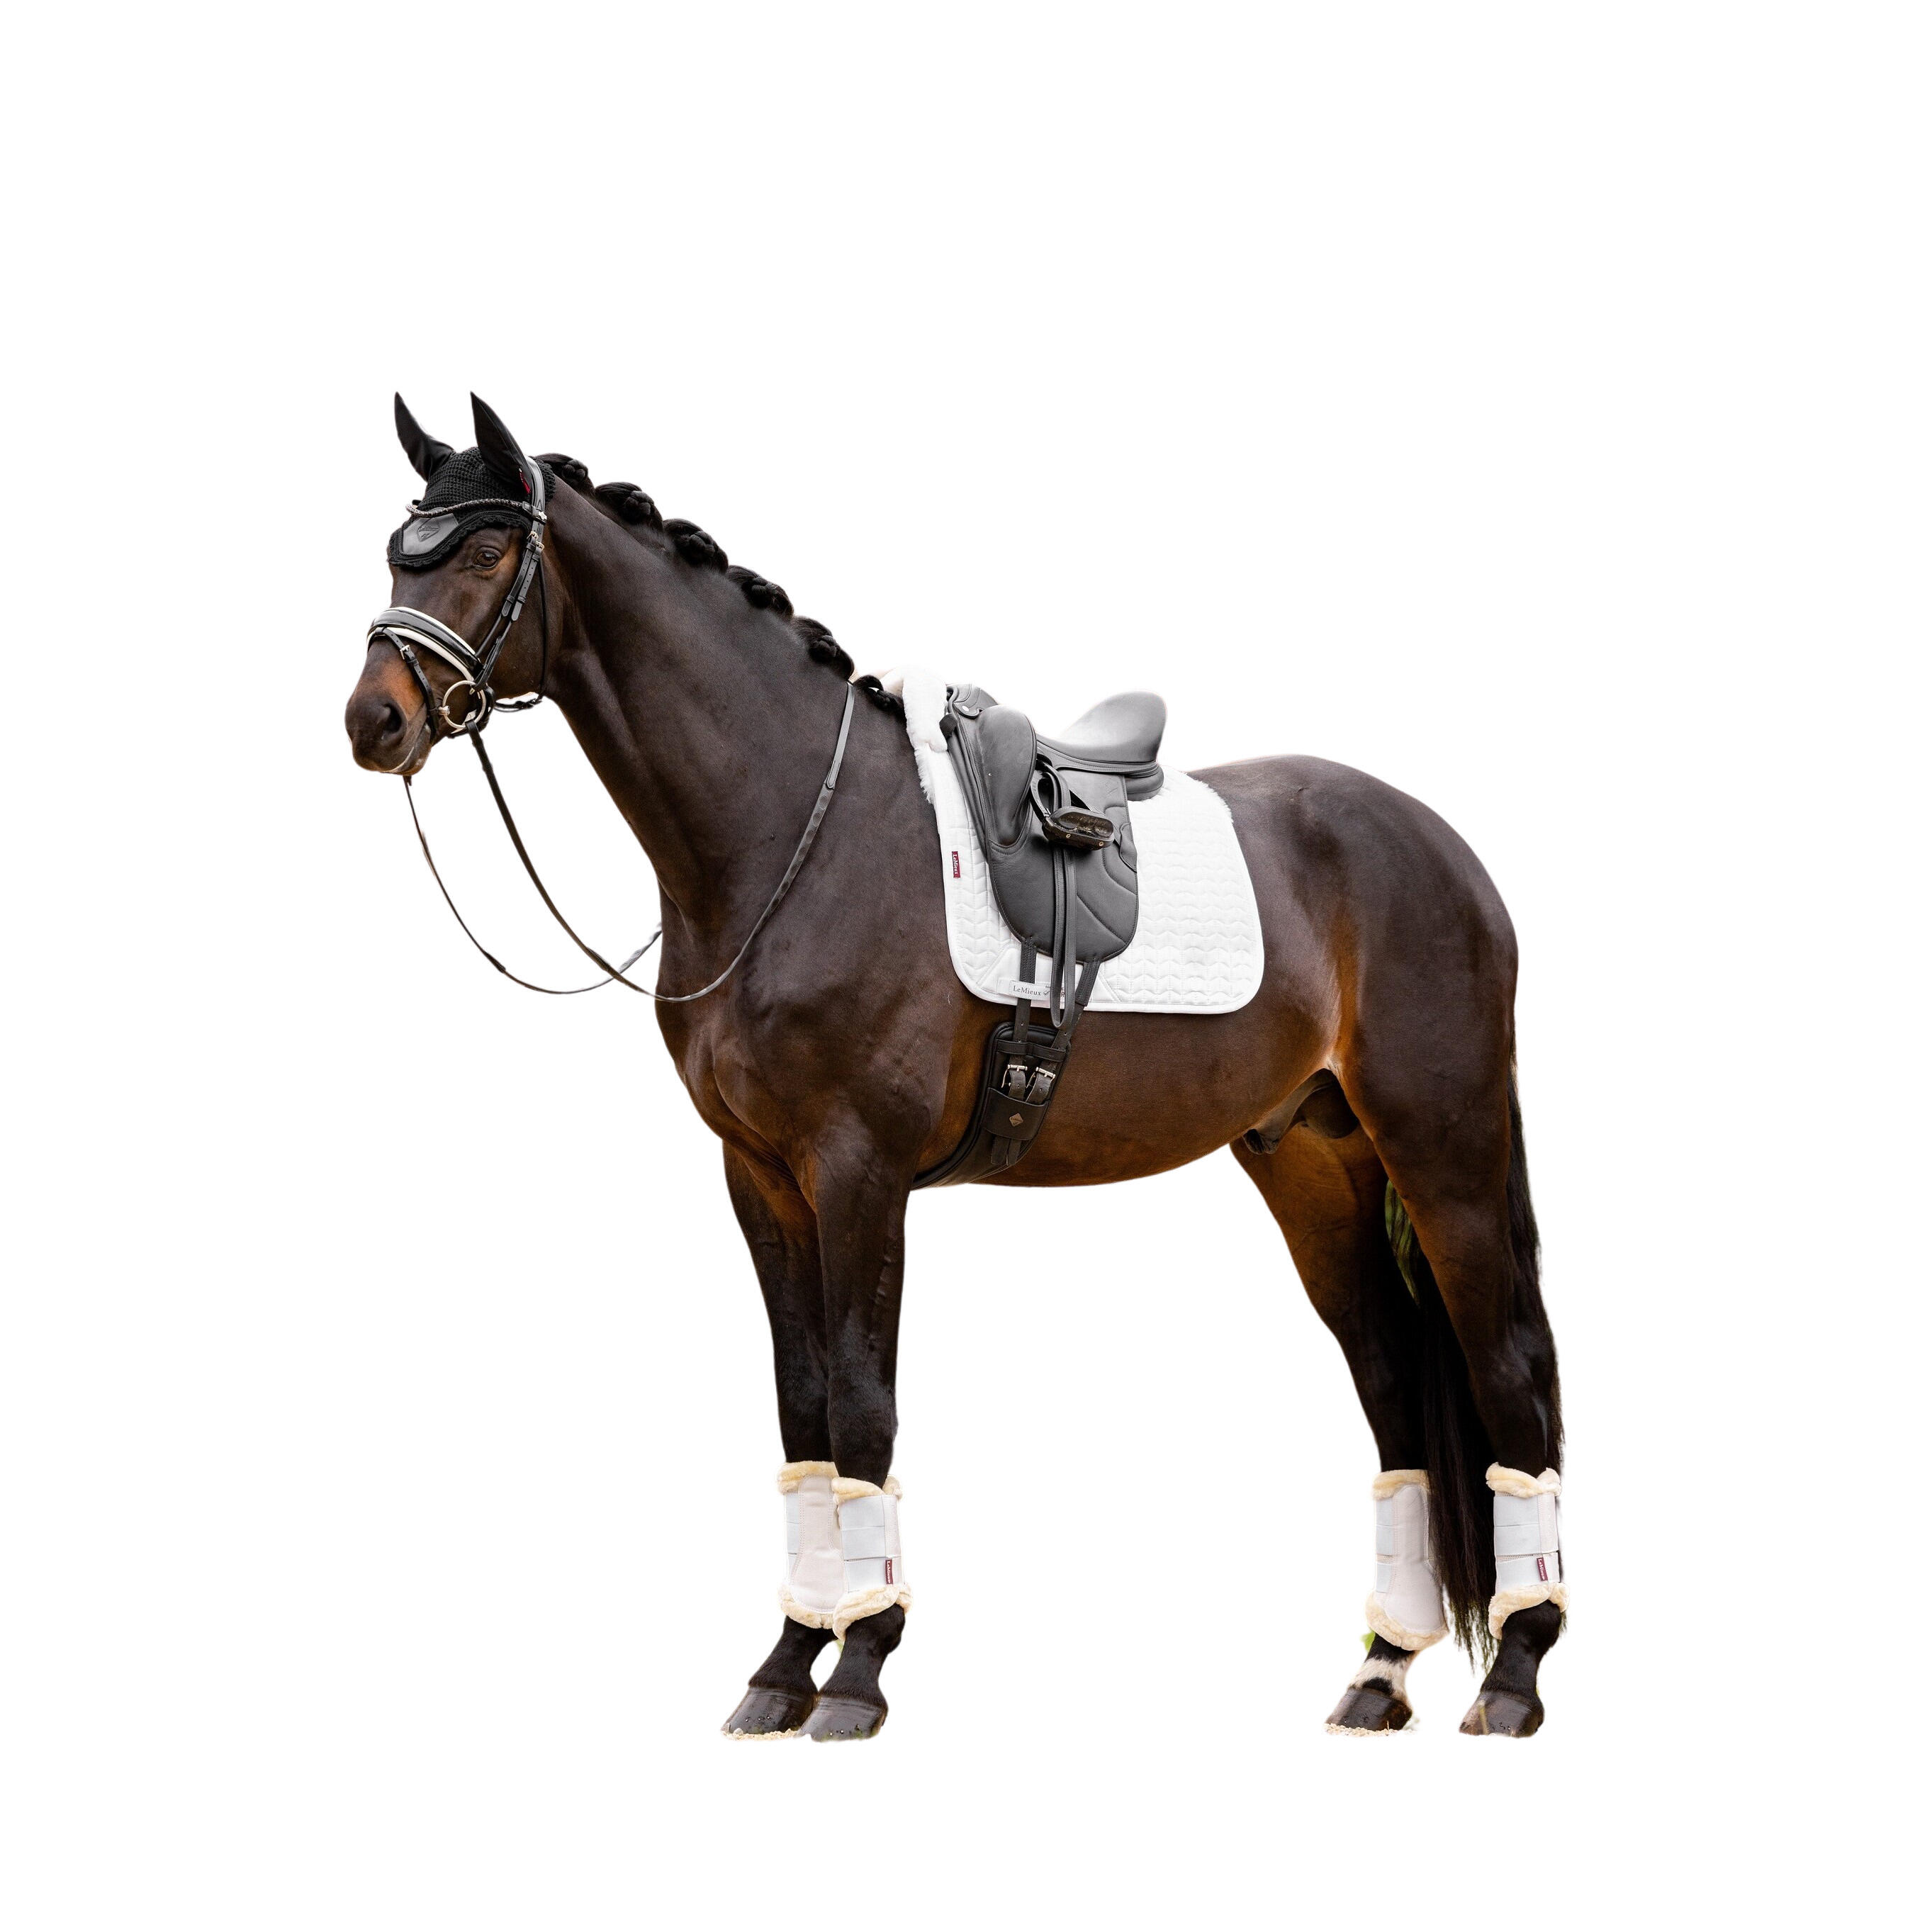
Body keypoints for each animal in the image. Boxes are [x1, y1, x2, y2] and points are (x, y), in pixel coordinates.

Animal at [344, 394, 1565, 1740]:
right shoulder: (760, 1178)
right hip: (1312, 1161)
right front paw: (785, 1662)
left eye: (484, 550)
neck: (792, 836)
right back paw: (1380, 1668)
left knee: (1510, 1368)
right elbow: (806, 1412)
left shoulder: (858, 1171)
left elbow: (863, 1405)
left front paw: (858, 1668)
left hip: (1444, 1146)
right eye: (398, 550)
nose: (373, 719)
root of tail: (1439, 846)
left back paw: (1515, 1671)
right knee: (1395, 1385)